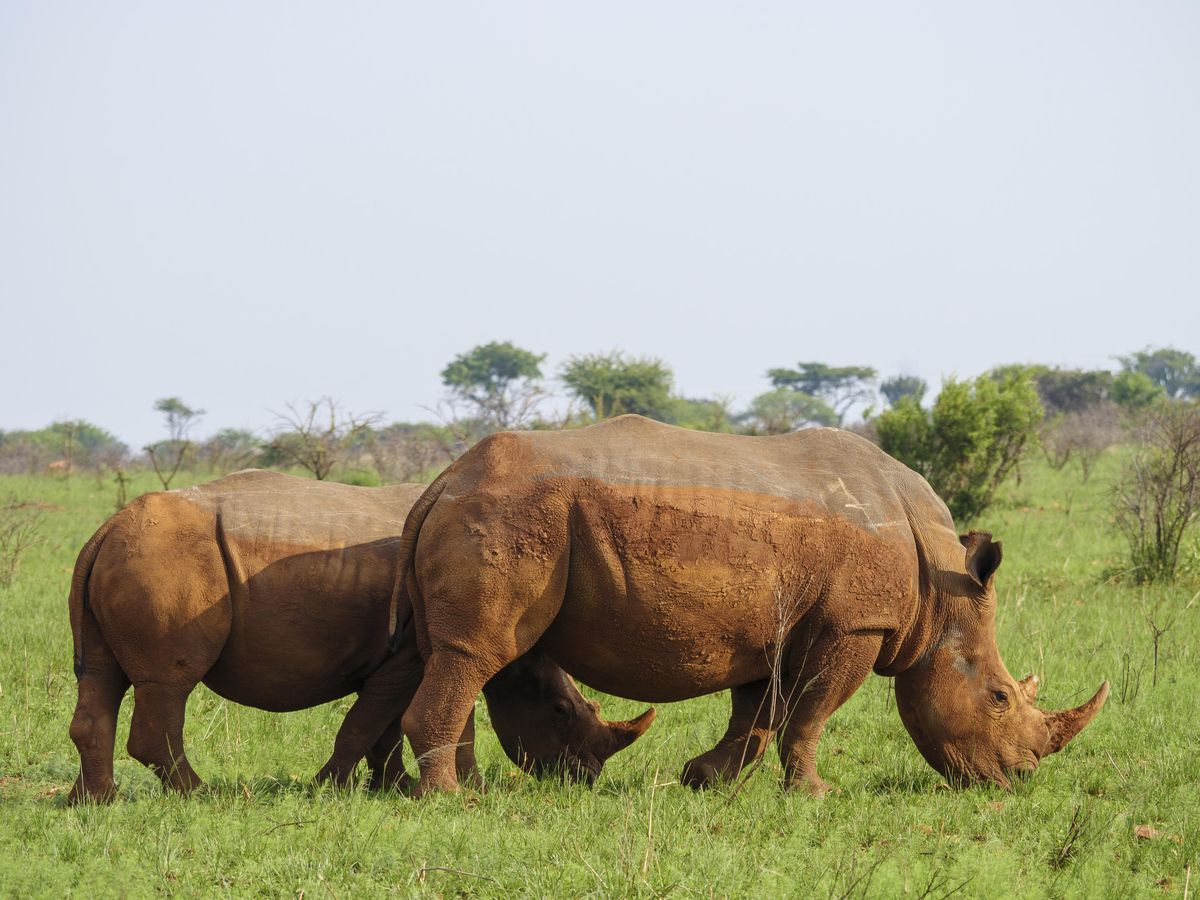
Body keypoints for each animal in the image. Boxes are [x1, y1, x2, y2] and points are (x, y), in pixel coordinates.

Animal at [67, 470, 651, 804]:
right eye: (560, 710)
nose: (585, 778)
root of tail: (104, 529)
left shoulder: (398, 662)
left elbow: (382, 728)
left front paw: (391, 789)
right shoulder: (408, 658)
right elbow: (365, 725)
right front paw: (330, 788)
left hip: (135, 555)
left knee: (100, 676)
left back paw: (92, 803)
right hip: (167, 560)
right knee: (169, 684)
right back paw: (199, 795)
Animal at [392, 415, 1109, 796]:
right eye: (1000, 698)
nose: (1018, 777)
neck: (939, 588)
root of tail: (439, 483)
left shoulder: (773, 624)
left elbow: (759, 713)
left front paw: (704, 780)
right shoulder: (857, 624)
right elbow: (811, 712)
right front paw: (815, 795)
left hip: (491, 514)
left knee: (454, 659)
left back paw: (468, 788)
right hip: (510, 516)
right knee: (476, 653)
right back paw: (452, 801)